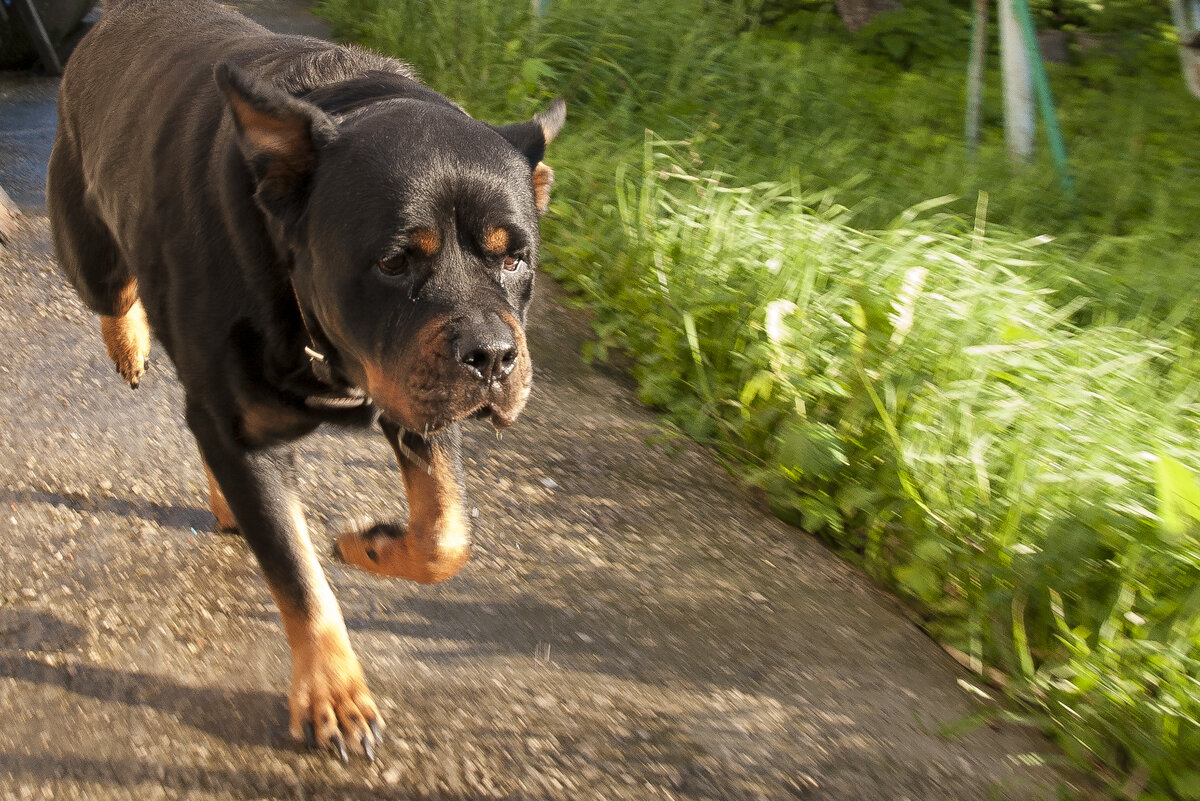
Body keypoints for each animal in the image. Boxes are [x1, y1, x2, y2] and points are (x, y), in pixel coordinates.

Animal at [49, 0, 564, 762]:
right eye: (393, 262)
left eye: (514, 258)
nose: (493, 355)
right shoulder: (252, 426)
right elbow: (297, 575)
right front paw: (334, 693)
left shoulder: (414, 395)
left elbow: (446, 532)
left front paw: (371, 545)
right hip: (88, 251)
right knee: (116, 293)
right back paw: (130, 341)